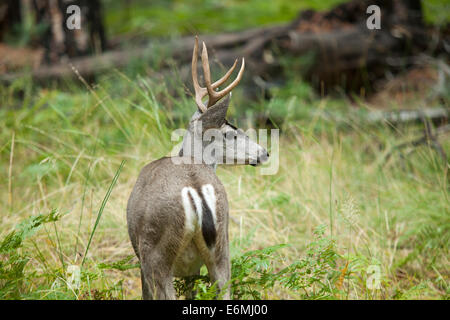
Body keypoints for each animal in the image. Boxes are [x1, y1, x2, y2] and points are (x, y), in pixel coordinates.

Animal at [125, 37, 268, 300]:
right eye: (230, 132)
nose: (264, 152)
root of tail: (196, 188)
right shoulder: (193, 269)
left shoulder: (142, 261)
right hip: (222, 246)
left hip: (154, 253)